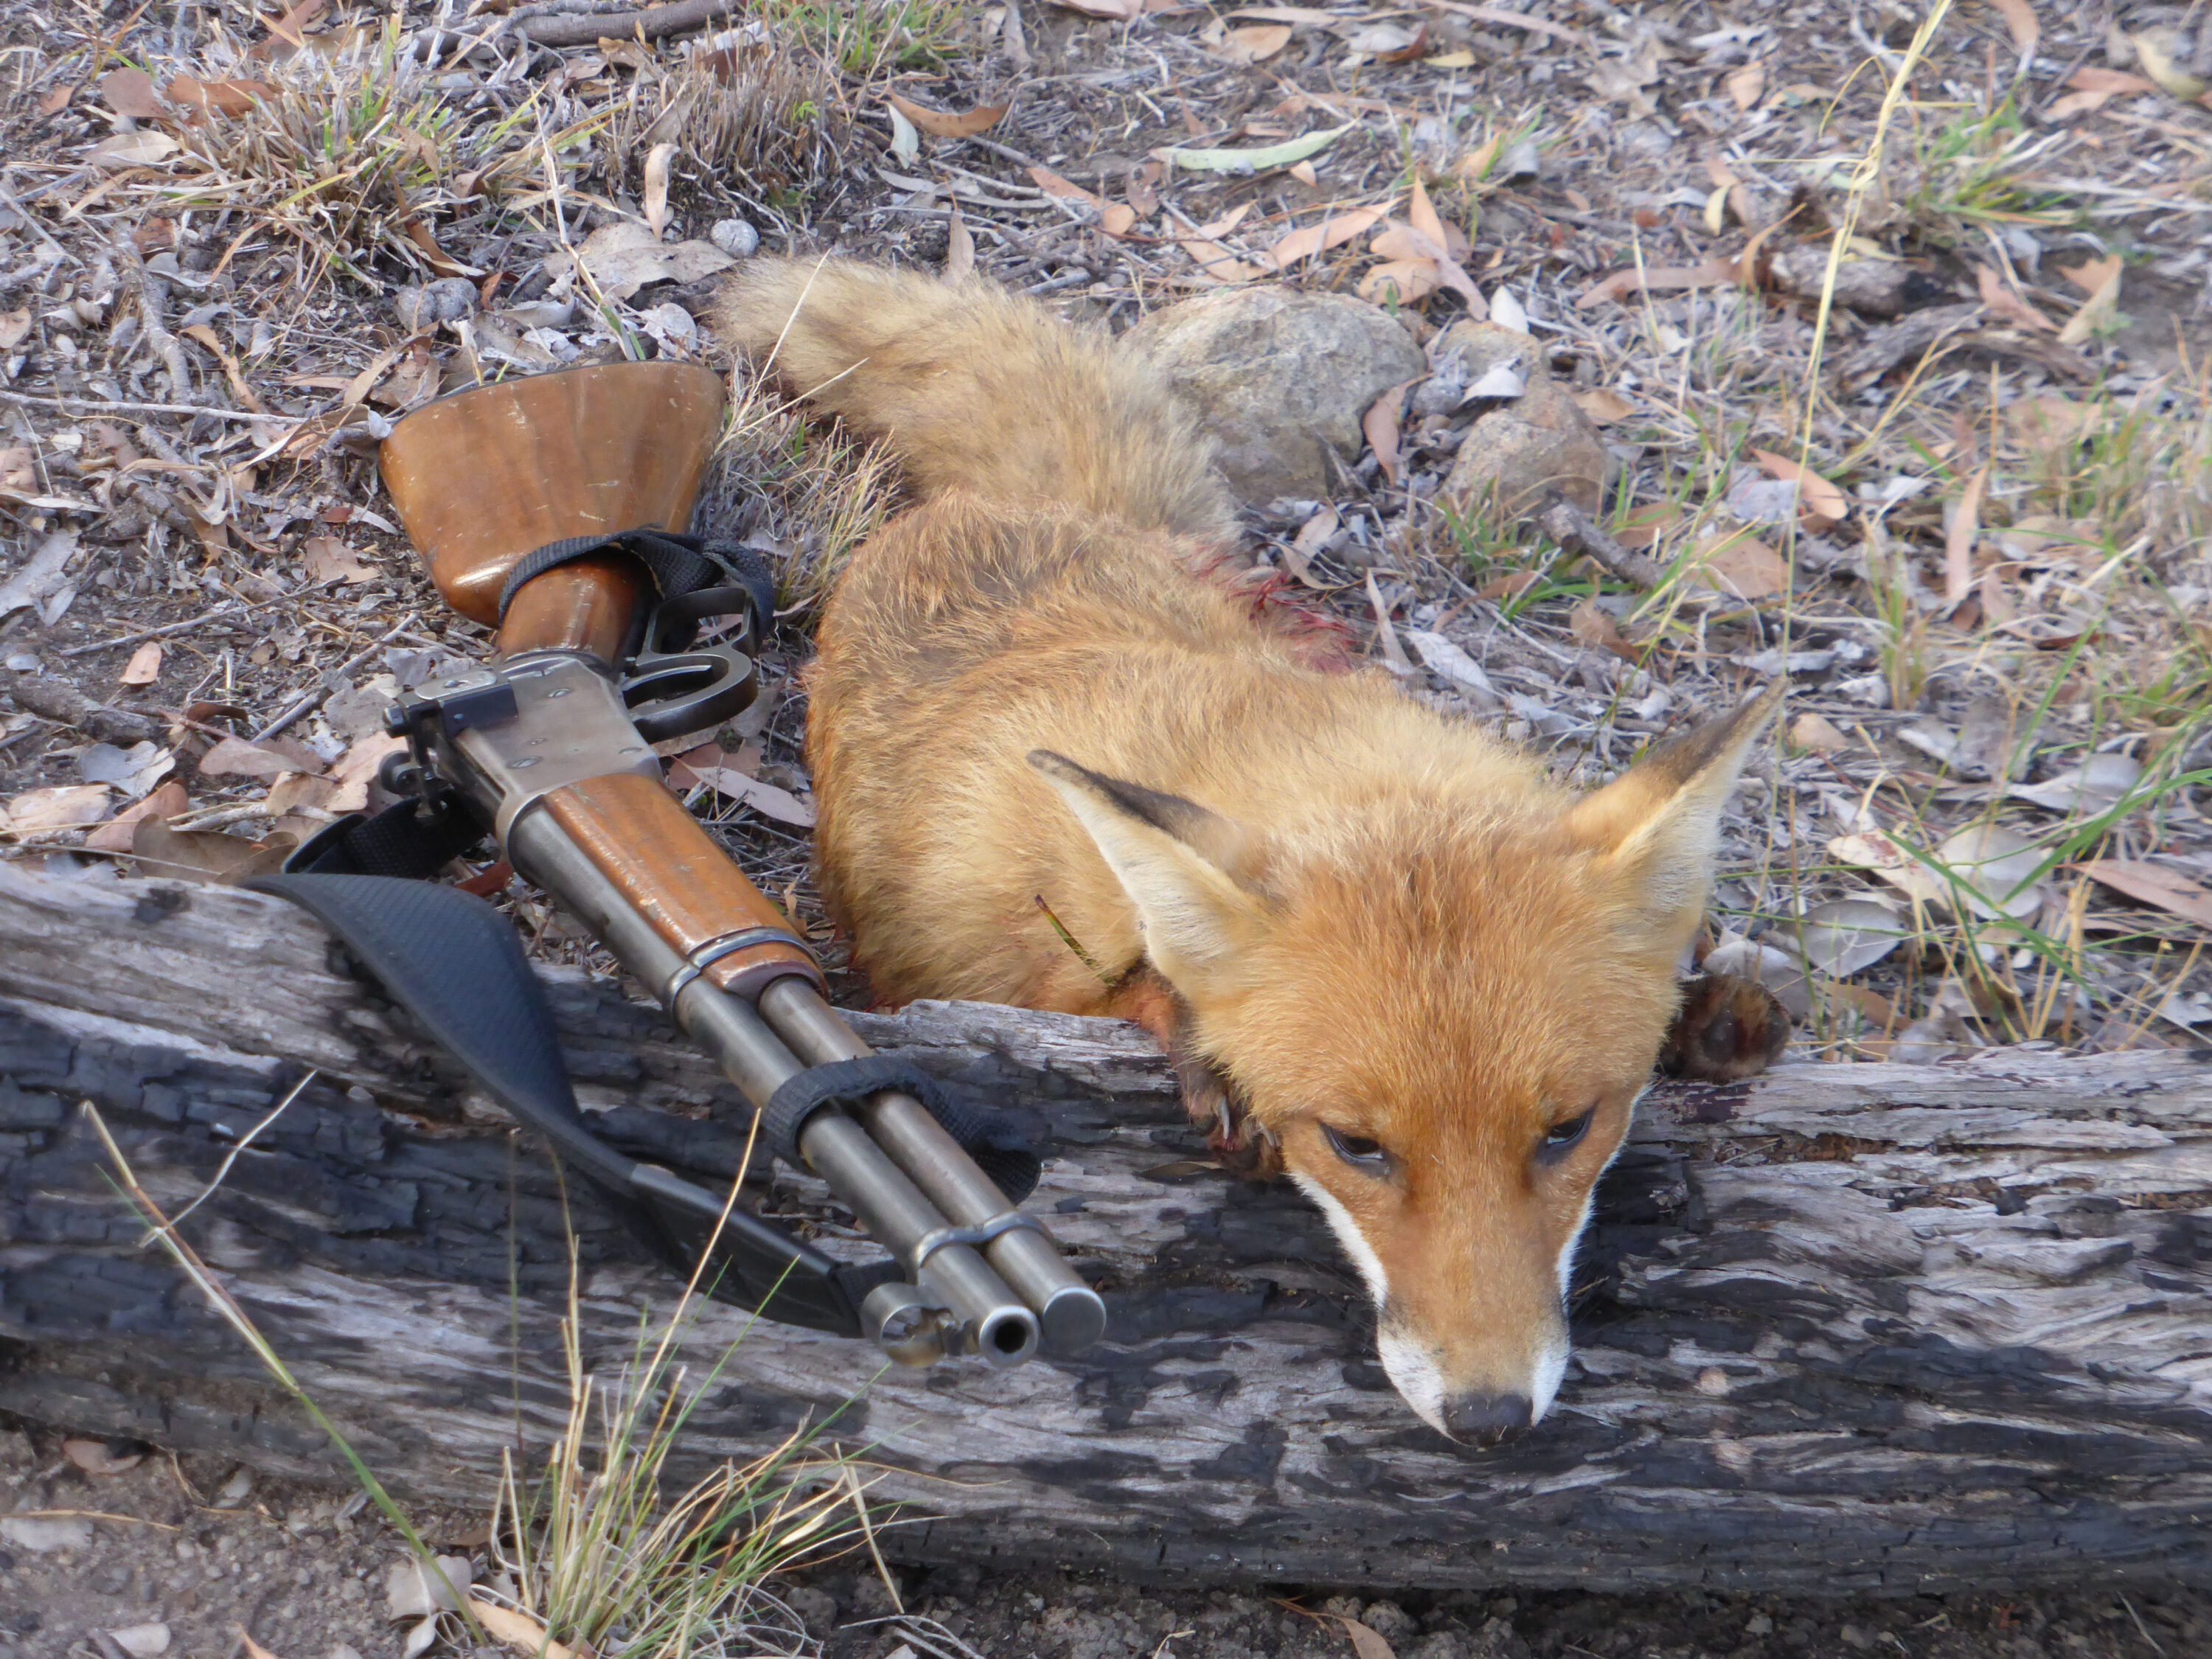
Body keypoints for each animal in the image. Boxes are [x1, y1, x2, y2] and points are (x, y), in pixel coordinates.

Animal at [717, 260, 1787, 1442]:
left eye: (1566, 1129)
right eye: (1355, 1146)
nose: (1491, 1417)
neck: (1276, 745)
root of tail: (997, 513)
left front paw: (1713, 1020)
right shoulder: (986, 969)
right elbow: (1093, 986)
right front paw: (1191, 1033)